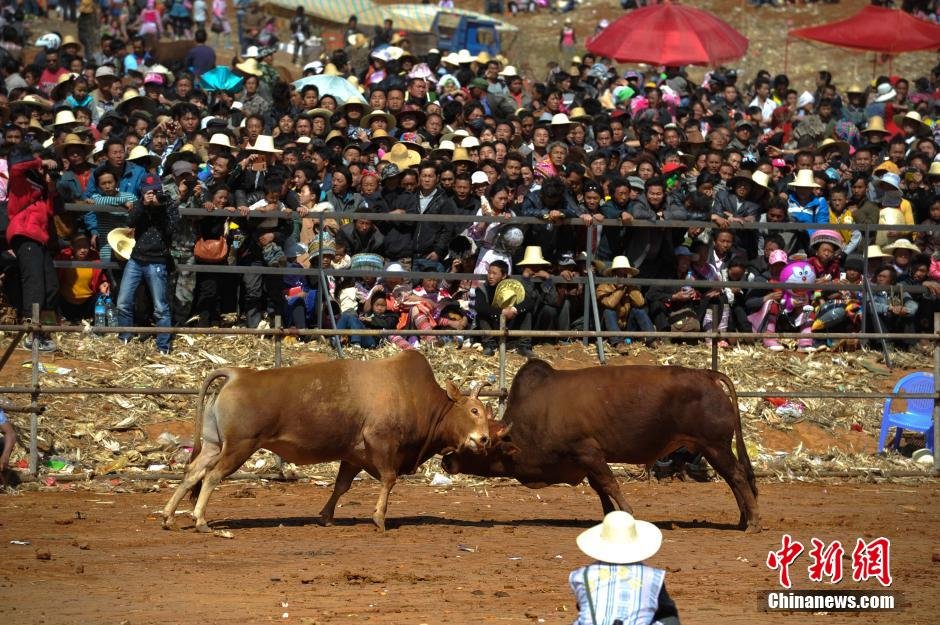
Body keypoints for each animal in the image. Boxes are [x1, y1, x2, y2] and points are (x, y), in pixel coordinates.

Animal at [162, 352, 496, 532]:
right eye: (474, 410)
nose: (485, 439)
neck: (416, 396)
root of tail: (237, 374)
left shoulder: (353, 455)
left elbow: (341, 486)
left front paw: (326, 516)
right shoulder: (382, 444)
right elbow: (388, 480)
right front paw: (379, 518)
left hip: (214, 445)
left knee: (192, 472)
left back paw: (168, 516)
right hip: (239, 447)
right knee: (212, 476)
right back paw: (200, 520)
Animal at [444, 360, 760, 532]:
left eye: (481, 440)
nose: (446, 460)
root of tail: (708, 375)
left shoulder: (587, 452)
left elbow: (610, 485)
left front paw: (628, 514)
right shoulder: (584, 460)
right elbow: (600, 489)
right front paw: (609, 517)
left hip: (715, 445)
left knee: (737, 476)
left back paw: (754, 521)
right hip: (711, 448)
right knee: (734, 478)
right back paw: (743, 519)